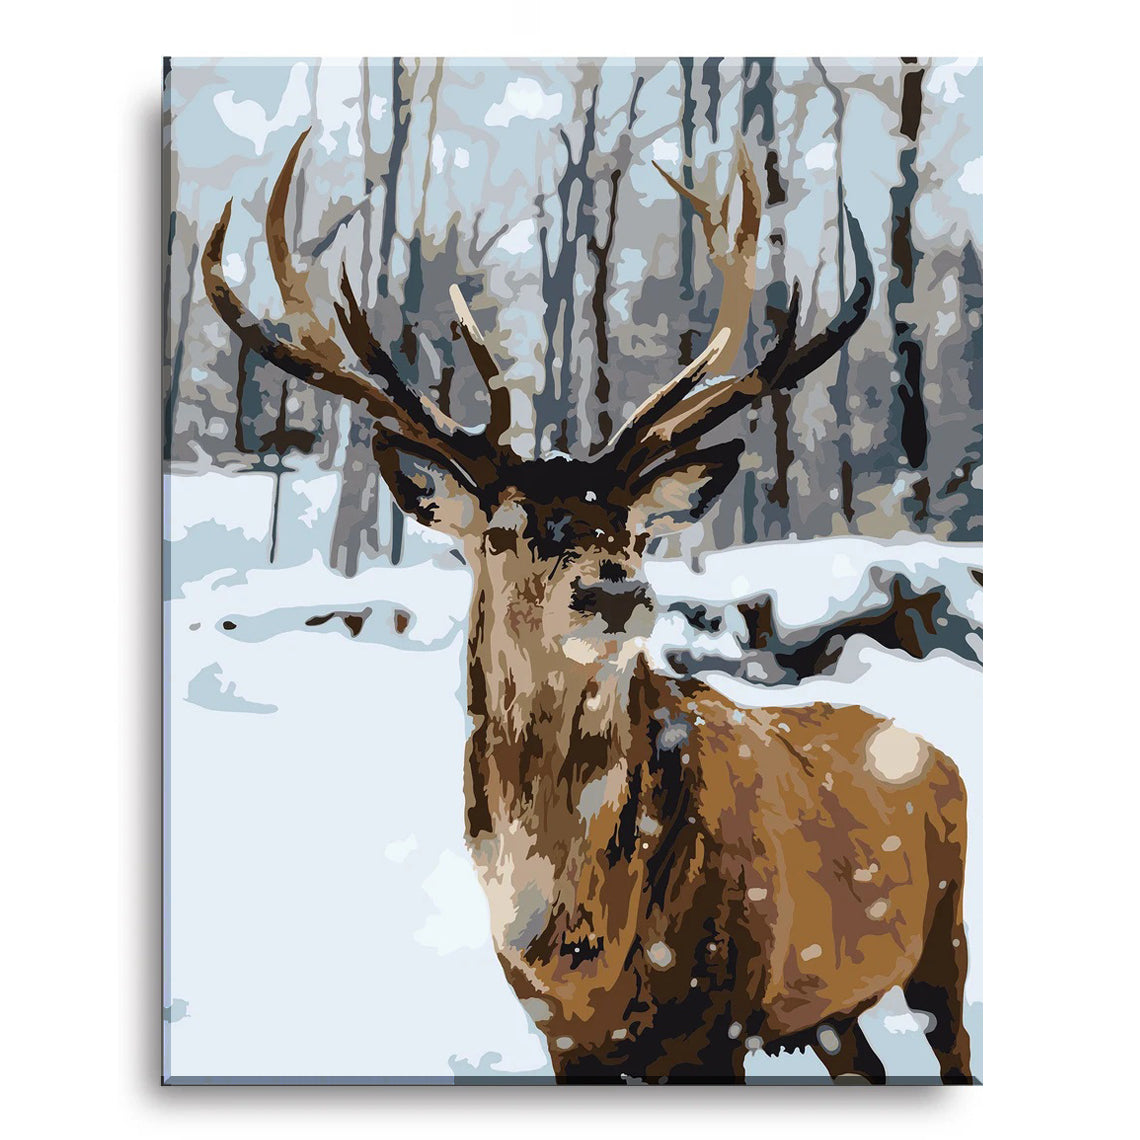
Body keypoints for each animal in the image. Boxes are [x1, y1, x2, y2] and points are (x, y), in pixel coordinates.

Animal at [201, 129, 972, 1085]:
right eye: (502, 531)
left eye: (638, 532)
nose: (616, 588)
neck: (579, 943)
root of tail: (939, 756)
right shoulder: (562, 1039)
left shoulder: (719, 1019)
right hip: (834, 1010)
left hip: (945, 940)